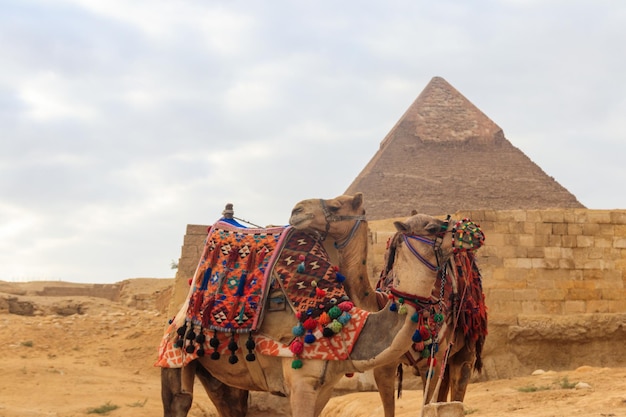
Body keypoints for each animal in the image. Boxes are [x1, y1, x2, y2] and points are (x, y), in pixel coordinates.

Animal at [156, 211, 468, 416]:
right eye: (432, 227)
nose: (467, 229)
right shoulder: (300, 382)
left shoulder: (326, 386)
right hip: (174, 352)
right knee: (179, 399)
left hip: (222, 371)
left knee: (230, 401)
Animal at [288, 195, 488, 406]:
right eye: (432, 228)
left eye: (335, 206)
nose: (297, 210)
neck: (382, 303)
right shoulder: (384, 366)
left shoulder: (432, 362)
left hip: (465, 349)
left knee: (459, 384)